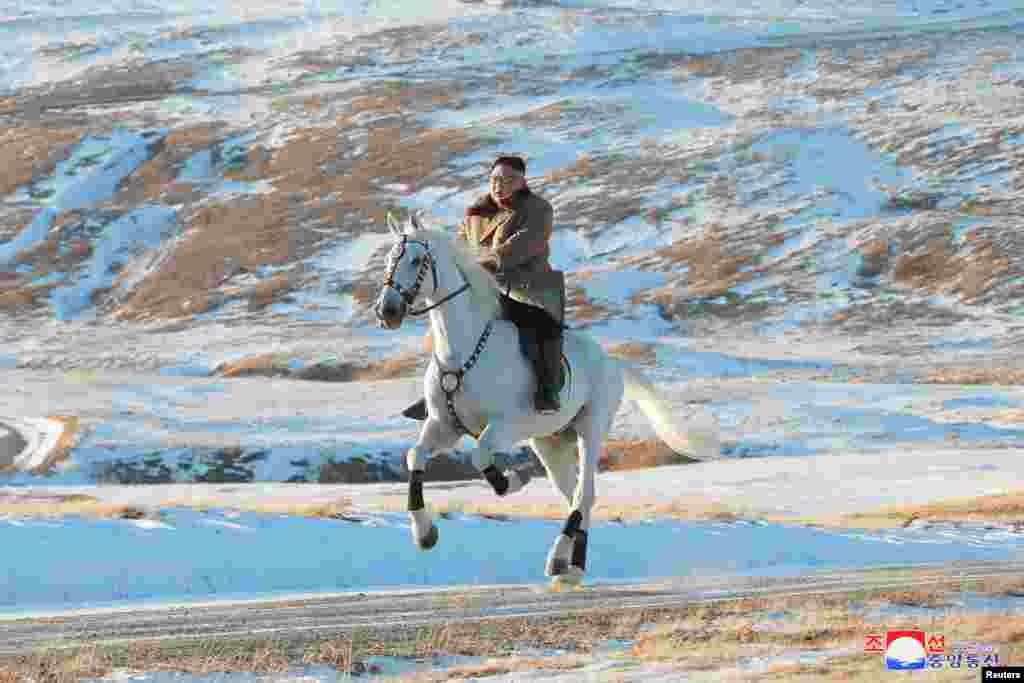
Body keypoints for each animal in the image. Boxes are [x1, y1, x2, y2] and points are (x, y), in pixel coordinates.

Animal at [376, 214, 720, 589]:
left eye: (416, 260)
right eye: (389, 259)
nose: (387, 310)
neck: (463, 351)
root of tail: (612, 362)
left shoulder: (506, 425)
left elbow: (480, 455)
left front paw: (514, 479)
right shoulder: (444, 426)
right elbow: (415, 456)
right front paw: (424, 533)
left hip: (590, 430)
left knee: (584, 494)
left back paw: (559, 560)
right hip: (550, 444)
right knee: (575, 497)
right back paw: (571, 568)